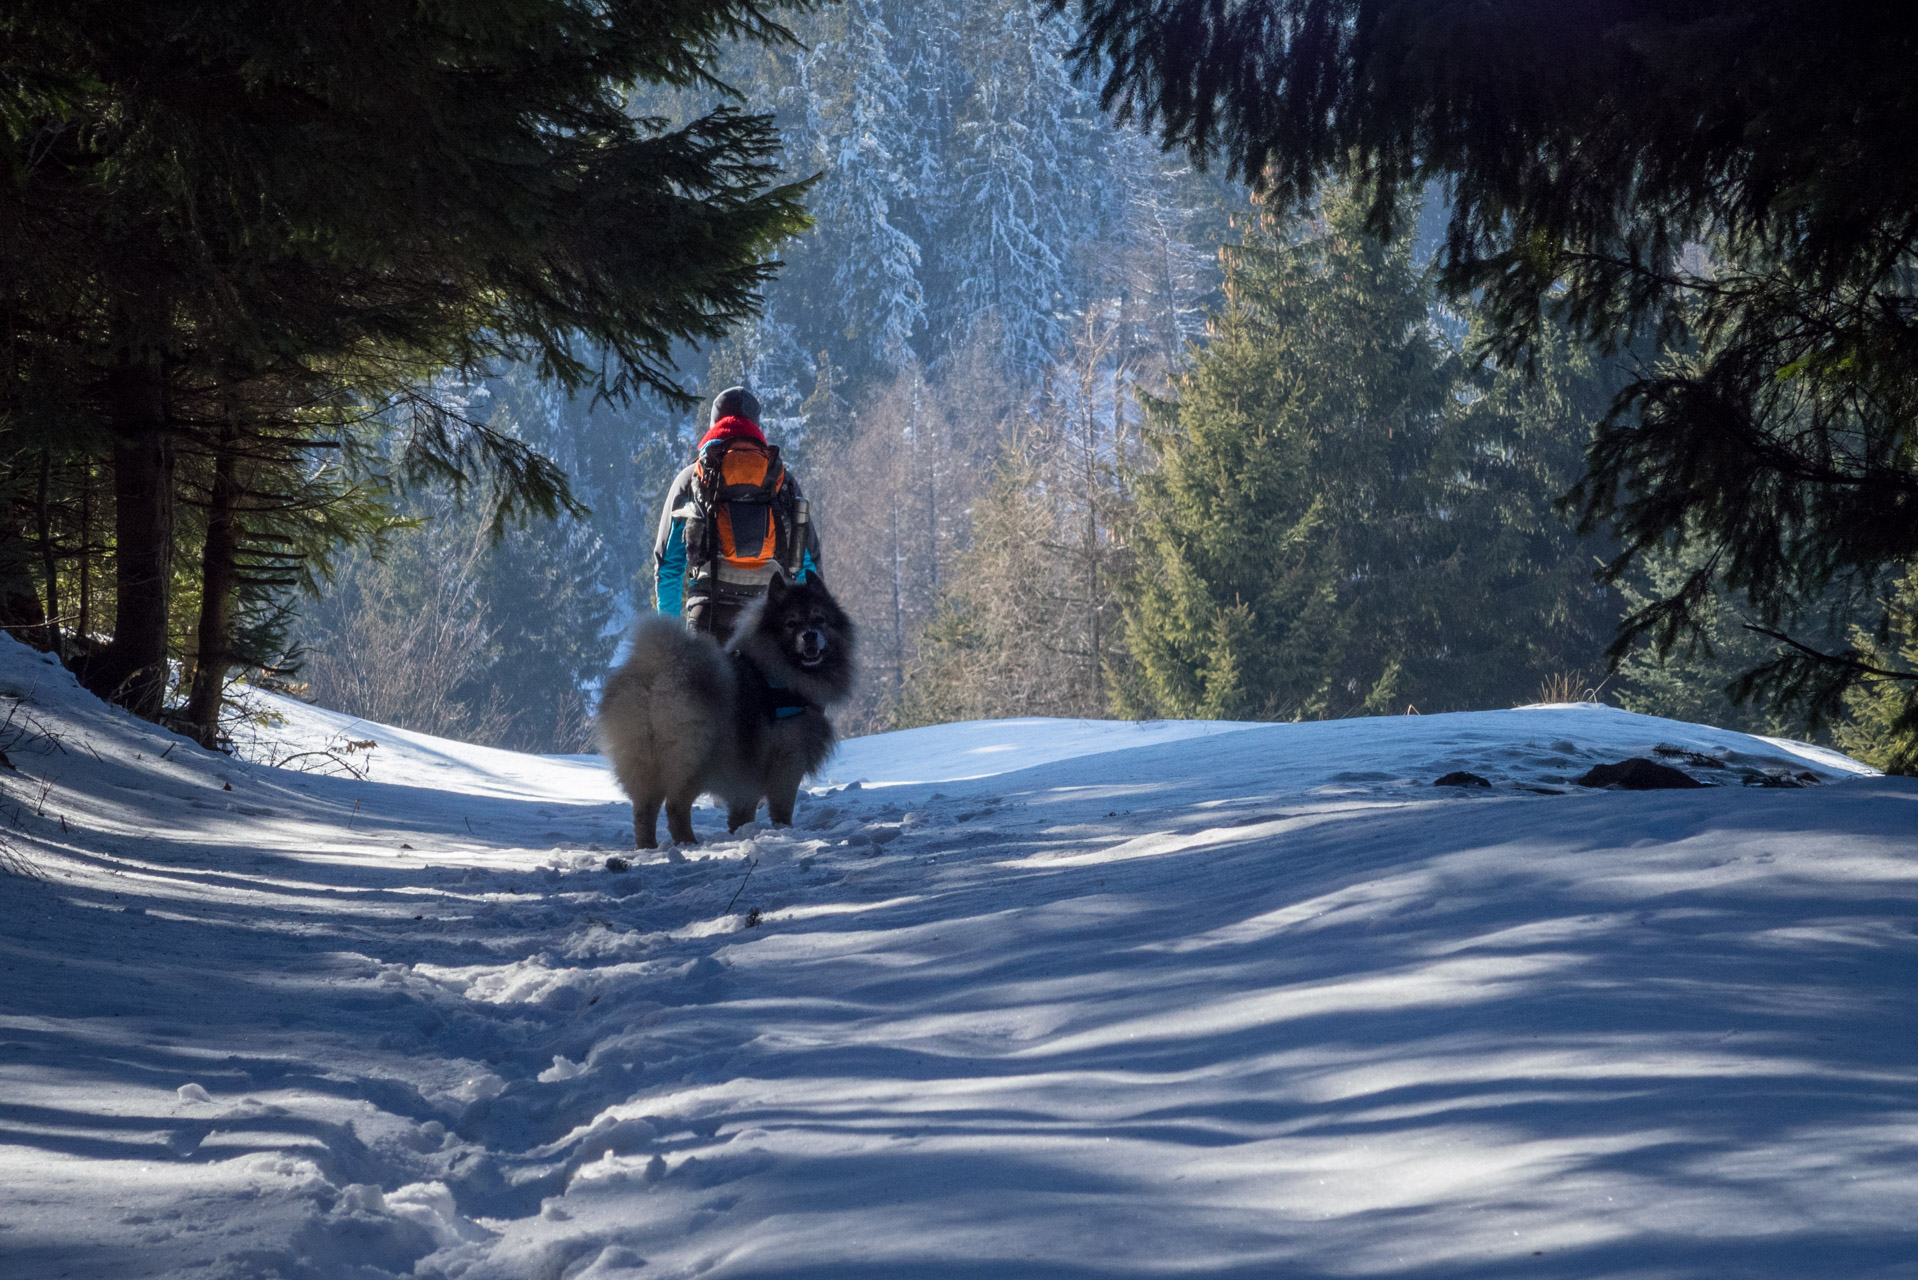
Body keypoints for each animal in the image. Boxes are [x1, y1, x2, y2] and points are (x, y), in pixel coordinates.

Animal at [598, 575, 855, 844]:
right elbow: (782, 807)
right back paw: (688, 842)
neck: (779, 672)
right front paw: (782, 830)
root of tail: (656, 674)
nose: (810, 635)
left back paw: (649, 846)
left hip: (645, 762)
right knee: (675, 806)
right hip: (694, 759)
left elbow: (744, 807)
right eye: (791, 623)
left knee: (644, 812)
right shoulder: (787, 759)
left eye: (819, 619)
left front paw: (741, 829)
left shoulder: (747, 768)